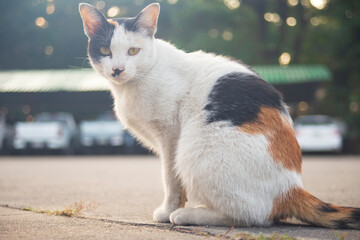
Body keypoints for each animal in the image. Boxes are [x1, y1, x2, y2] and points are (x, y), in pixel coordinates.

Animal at [79, 2, 360, 229]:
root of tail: (291, 189)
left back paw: (187, 214)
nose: (117, 69)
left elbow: (171, 179)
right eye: (104, 50)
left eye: (133, 51)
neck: (138, 79)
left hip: (194, 152)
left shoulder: (171, 136)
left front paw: (169, 209)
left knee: (254, 217)